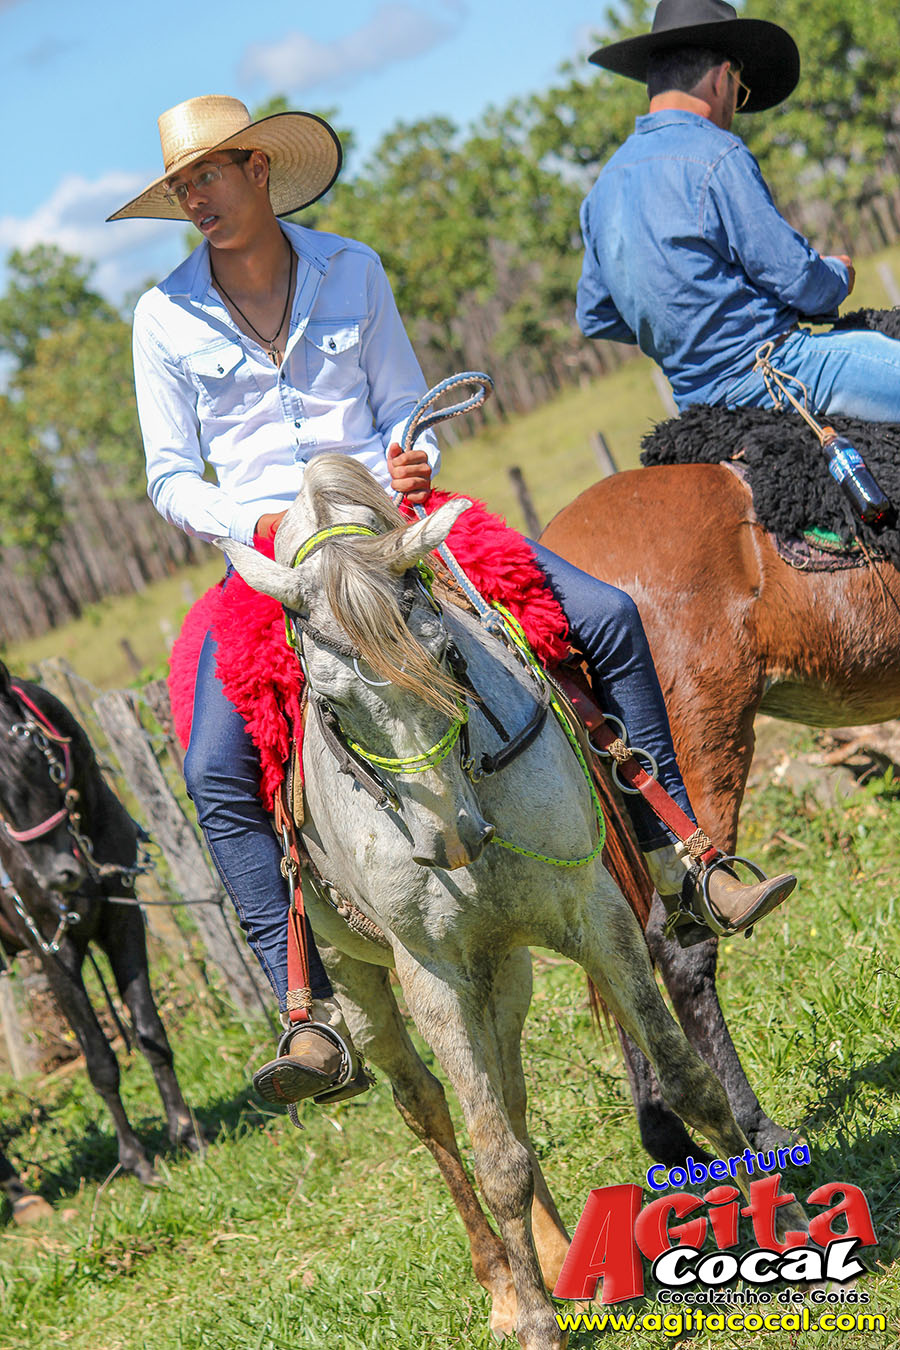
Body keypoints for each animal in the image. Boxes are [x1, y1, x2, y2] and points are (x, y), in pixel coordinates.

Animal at [0, 663, 204, 1198]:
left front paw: (186, 1133)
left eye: (34, 754)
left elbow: (151, 1032)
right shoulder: (54, 952)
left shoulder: (124, 921)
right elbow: (99, 1060)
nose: (55, 877)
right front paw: (136, 1160)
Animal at [222, 454, 806, 1348]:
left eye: (445, 656)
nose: (451, 838)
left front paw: (774, 1232)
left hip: (504, 968)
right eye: (327, 704)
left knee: (509, 1085)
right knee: (431, 1109)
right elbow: (493, 1154)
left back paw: (563, 1256)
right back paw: (503, 1281)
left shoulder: (595, 918)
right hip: (362, 985)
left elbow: (686, 1079)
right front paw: (533, 1319)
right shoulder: (432, 976)